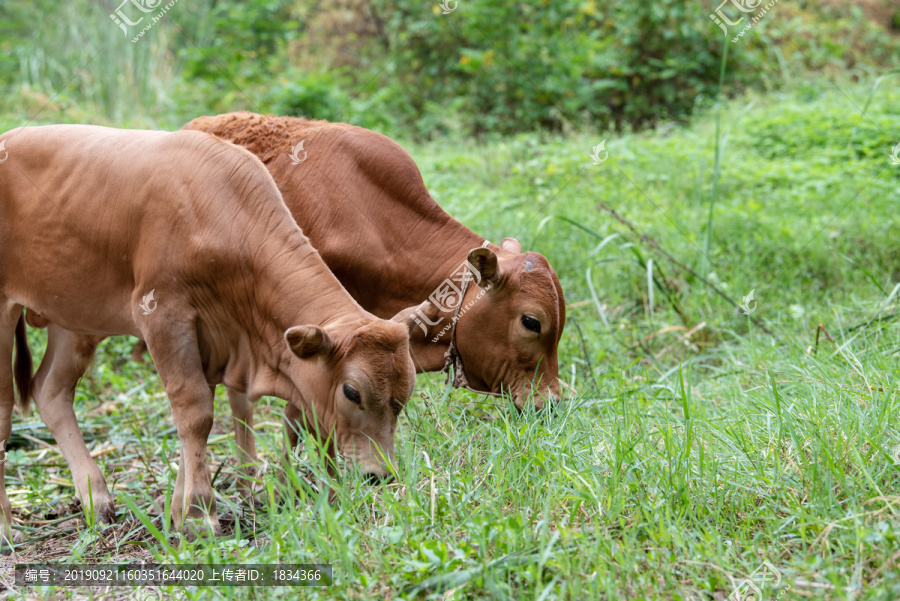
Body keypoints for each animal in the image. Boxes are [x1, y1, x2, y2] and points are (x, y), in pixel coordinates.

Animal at [0, 124, 414, 536]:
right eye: (352, 392)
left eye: (403, 397)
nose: (380, 475)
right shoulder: (163, 314)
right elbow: (195, 411)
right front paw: (200, 513)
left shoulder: (213, 340)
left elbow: (199, 414)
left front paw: (180, 511)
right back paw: (7, 525)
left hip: (72, 316)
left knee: (51, 392)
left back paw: (95, 498)